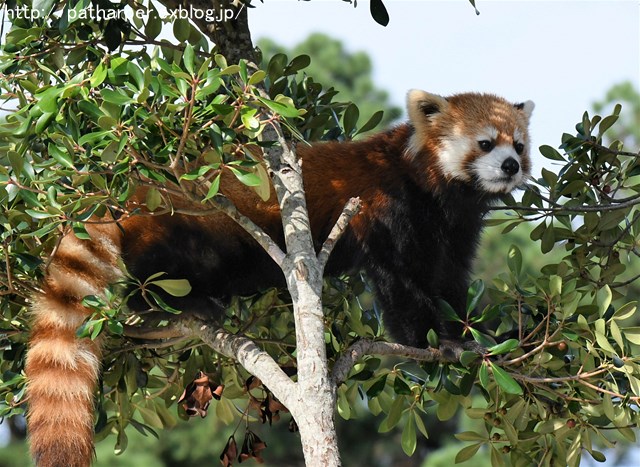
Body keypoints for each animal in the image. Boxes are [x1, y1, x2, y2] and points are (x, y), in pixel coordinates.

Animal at [25, 89, 536, 466]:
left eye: (518, 144)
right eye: (485, 143)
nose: (511, 165)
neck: (434, 188)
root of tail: (125, 190)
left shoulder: (455, 228)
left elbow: (449, 279)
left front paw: (472, 334)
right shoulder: (387, 207)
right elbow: (400, 281)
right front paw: (434, 339)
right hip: (187, 223)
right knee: (161, 270)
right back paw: (171, 307)